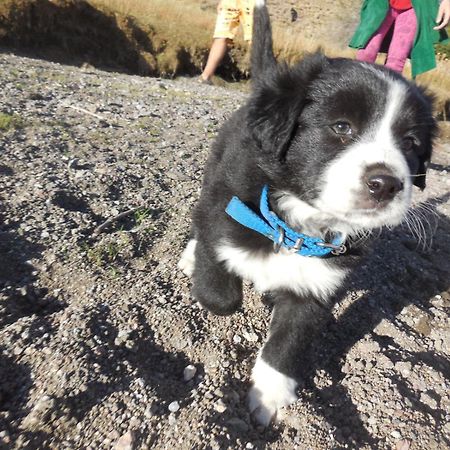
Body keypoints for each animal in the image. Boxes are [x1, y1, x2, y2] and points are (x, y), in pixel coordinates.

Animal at [178, 0, 436, 426]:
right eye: (342, 127)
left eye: (412, 143)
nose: (386, 184)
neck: (298, 223)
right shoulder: (225, 204)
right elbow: (219, 289)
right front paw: (216, 280)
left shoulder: (318, 279)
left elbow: (289, 339)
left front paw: (268, 396)